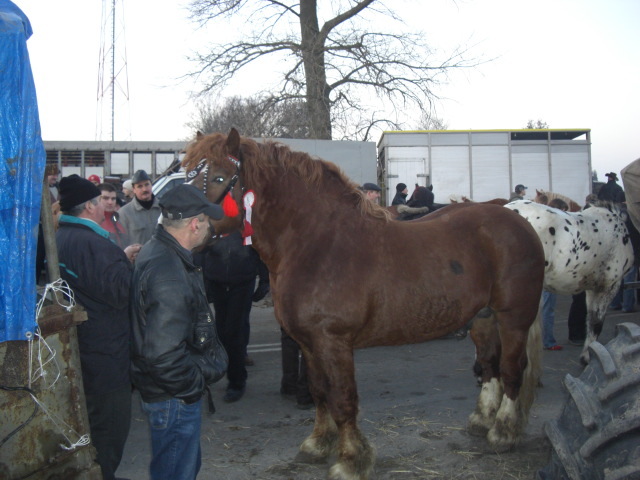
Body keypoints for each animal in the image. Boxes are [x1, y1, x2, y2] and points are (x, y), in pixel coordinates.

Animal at [182, 130, 544, 480]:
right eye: (189, 175)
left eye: (218, 177)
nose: (178, 219)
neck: (318, 245)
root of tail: (519, 219)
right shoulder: (309, 343)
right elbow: (319, 392)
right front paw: (317, 444)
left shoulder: (334, 342)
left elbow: (343, 400)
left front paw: (352, 461)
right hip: (484, 319)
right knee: (490, 366)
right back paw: (482, 420)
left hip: (514, 318)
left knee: (512, 369)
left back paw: (504, 433)